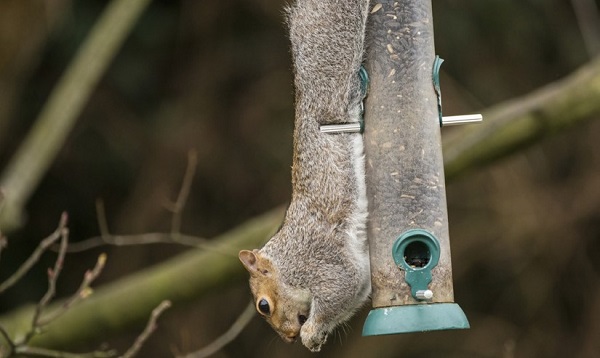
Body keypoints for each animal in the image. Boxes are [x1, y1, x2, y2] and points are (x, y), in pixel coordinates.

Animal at [238, 0, 370, 352]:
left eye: (263, 306)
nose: (288, 337)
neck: (285, 263)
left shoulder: (317, 264)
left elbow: (343, 287)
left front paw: (311, 332)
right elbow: (358, 290)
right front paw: (316, 338)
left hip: (333, 54)